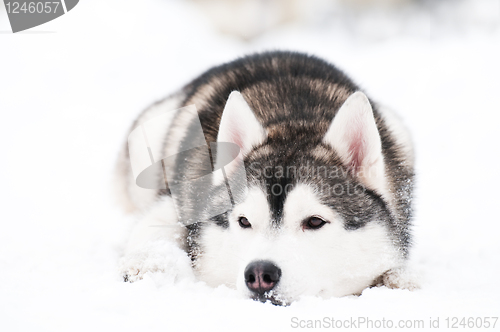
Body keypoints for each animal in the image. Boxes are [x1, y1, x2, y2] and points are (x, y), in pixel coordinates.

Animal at [115, 51, 416, 304]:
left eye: (315, 221)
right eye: (244, 221)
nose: (259, 274)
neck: (294, 123)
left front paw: (399, 279)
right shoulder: (180, 201)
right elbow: (157, 225)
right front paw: (148, 263)